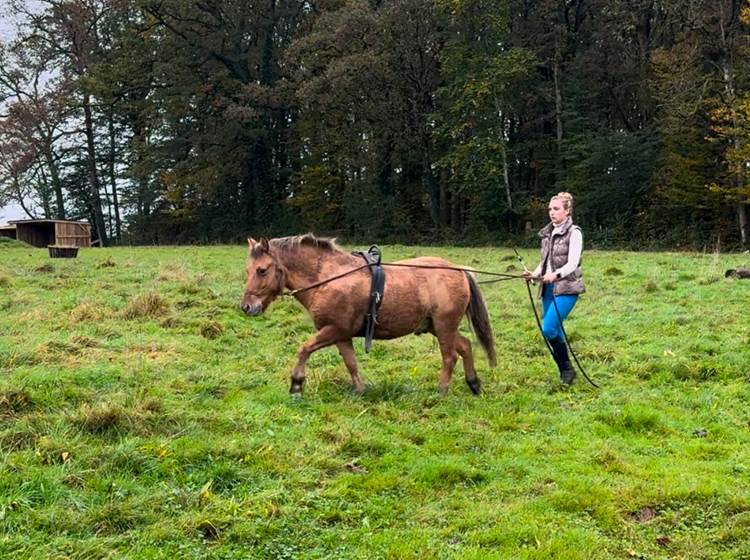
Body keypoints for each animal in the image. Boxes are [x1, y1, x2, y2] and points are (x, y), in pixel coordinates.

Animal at [244, 234, 496, 396]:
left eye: (262, 270)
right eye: (248, 270)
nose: (246, 306)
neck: (328, 277)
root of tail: (460, 271)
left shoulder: (333, 330)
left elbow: (304, 349)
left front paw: (296, 384)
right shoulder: (342, 335)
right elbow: (351, 363)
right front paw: (359, 390)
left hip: (445, 325)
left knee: (450, 356)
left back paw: (442, 390)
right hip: (438, 326)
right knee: (465, 347)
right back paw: (473, 383)